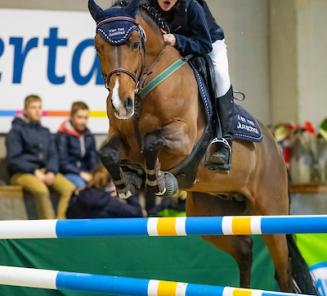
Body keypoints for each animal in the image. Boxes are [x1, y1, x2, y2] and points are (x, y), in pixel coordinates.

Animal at [88, 0, 316, 292]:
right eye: (98, 47)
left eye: (135, 43)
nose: (121, 103)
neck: (144, 87)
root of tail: (277, 149)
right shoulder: (123, 139)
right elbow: (107, 152)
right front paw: (126, 183)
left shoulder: (183, 139)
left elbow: (152, 142)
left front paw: (157, 180)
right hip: (209, 213)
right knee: (244, 249)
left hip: (271, 211)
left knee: (284, 271)